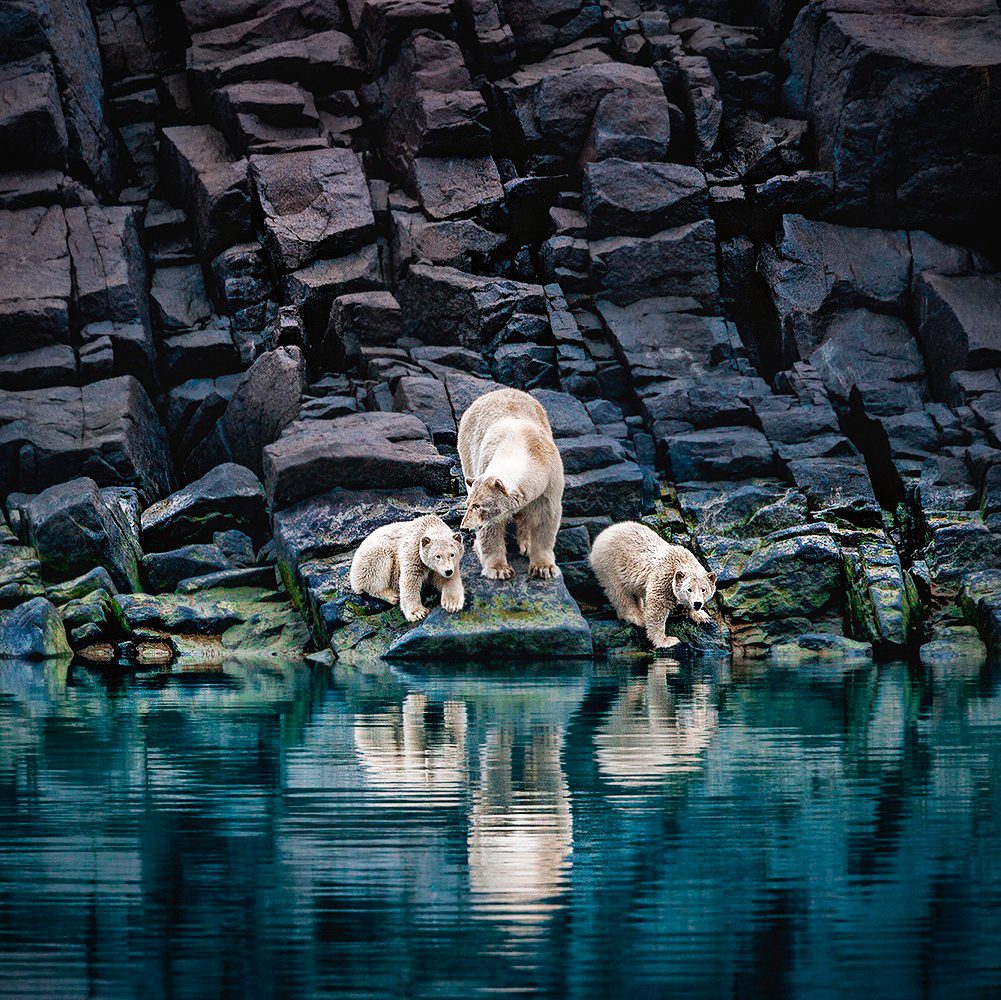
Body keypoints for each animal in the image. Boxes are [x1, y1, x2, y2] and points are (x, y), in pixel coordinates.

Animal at [456, 388, 564, 584]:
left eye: (478, 505)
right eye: (468, 505)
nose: (465, 528)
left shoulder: (549, 481)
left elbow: (545, 517)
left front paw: (544, 567)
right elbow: (491, 527)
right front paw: (499, 569)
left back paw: (526, 543)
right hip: (467, 449)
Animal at [588, 520, 716, 652]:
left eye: (703, 589)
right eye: (689, 589)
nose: (697, 604)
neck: (680, 561)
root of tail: (602, 535)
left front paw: (701, 615)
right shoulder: (663, 577)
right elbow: (657, 608)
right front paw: (666, 640)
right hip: (610, 565)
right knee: (619, 592)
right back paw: (638, 616)